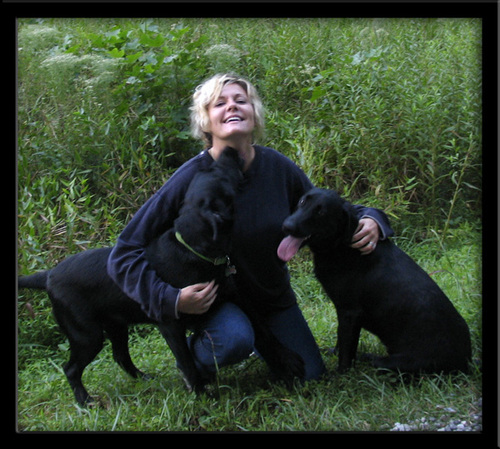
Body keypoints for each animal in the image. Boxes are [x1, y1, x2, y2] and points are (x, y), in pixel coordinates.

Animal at [18, 147, 304, 405]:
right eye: (217, 173)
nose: (230, 150)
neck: (194, 250)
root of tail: (48, 275)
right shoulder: (170, 324)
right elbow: (187, 361)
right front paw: (201, 396)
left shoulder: (237, 297)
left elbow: (264, 330)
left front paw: (288, 358)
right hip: (87, 334)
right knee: (71, 368)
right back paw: (85, 400)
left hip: (116, 326)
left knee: (120, 356)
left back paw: (144, 379)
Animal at [278, 188, 472, 375]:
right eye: (302, 201)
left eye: (321, 212)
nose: (287, 226)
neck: (342, 246)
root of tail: (467, 360)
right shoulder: (344, 312)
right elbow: (341, 342)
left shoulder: (350, 312)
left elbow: (346, 350)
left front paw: (340, 375)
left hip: (394, 363)